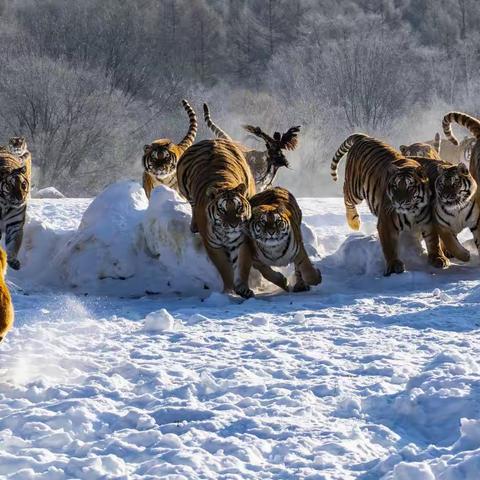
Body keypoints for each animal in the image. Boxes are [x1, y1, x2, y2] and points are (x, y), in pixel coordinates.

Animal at [176, 137, 256, 298]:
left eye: (239, 208)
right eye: (222, 210)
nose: (234, 225)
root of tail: (211, 139)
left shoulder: (242, 240)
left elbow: (243, 265)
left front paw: (243, 288)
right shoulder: (213, 245)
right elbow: (225, 268)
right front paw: (229, 291)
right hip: (183, 186)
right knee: (192, 204)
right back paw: (194, 226)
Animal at [330, 133, 446, 276]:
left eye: (410, 187)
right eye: (395, 186)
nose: (399, 202)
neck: (412, 210)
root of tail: (363, 136)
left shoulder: (429, 222)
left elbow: (433, 241)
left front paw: (439, 258)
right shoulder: (387, 223)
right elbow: (389, 246)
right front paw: (394, 266)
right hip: (355, 189)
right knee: (346, 193)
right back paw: (354, 222)